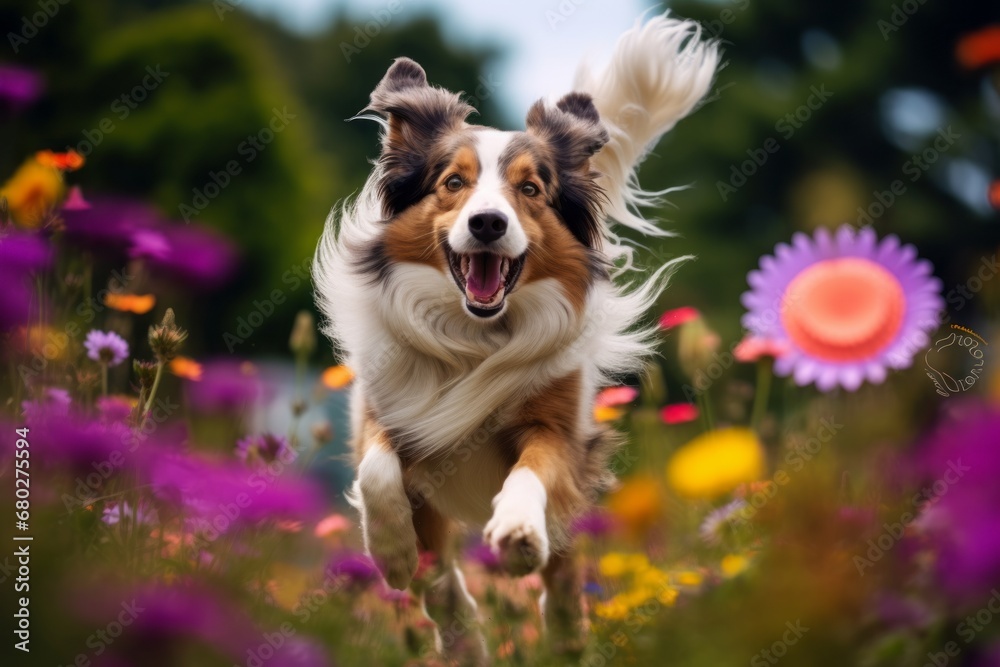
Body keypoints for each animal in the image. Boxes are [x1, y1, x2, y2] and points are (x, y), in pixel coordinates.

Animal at [316, 14, 716, 664]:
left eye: (530, 190)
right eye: (454, 182)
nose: (488, 223)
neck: (473, 338)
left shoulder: (558, 429)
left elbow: (532, 473)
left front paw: (517, 531)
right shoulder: (387, 409)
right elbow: (376, 471)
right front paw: (393, 551)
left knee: (564, 578)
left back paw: (565, 636)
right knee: (442, 583)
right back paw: (461, 636)